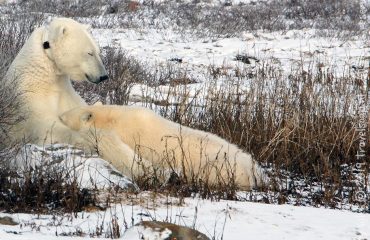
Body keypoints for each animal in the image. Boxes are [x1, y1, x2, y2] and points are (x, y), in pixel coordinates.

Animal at [5, 17, 139, 173]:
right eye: (89, 53)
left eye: (98, 51)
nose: (104, 76)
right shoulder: (30, 98)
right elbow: (49, 128)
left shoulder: (65, 91)